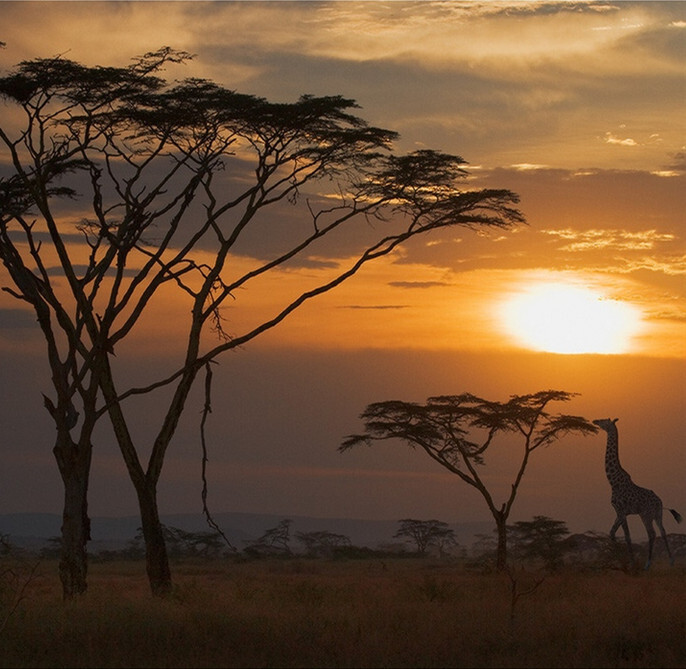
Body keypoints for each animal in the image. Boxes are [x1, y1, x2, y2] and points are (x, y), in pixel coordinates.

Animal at [592, 420, 684, 568]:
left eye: (605, 421)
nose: (595, 421)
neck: (613, 481)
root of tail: (660, 502)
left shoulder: (621, 511)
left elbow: (627, 536)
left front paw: (631, 561)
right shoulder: (619, 512)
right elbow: (612, 533)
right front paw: (618, 557)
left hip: (646, 515)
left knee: (652, 533)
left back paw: (647, 564)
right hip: (657, 515)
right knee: (663, 532)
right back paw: (671, 561)